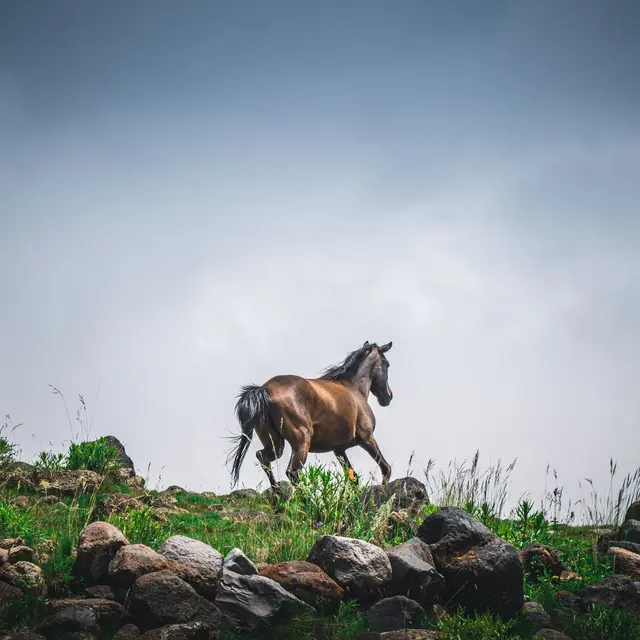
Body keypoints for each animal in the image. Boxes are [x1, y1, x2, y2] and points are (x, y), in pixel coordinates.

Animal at [227, 340, 394, 489]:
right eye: (386, 363)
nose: (388, 396)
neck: (353, 388)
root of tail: (264, 390)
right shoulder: (367, 438)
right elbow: (386, 468)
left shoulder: (339, 449)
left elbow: (353, 478)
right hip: (301, 441)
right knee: (292, 472)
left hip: (275, 444)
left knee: (263, 458)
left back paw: (277, 493)